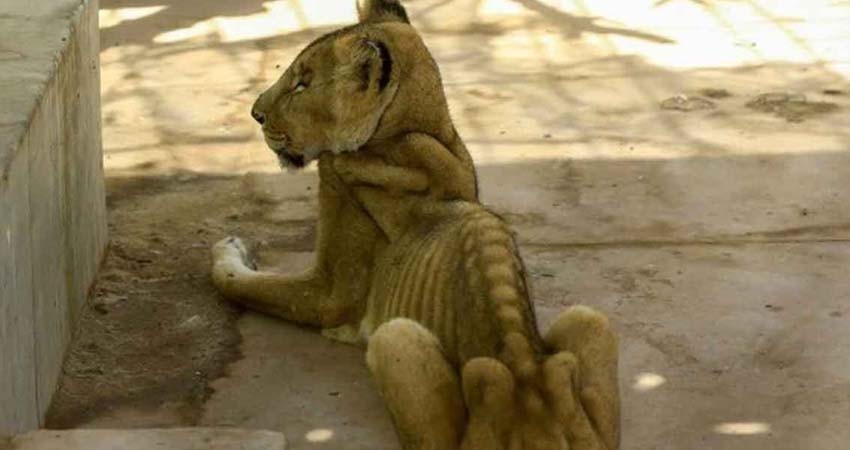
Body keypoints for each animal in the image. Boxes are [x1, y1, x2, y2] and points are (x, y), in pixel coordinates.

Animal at [211, 1, 620, 449]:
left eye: (302, 84)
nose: (255, 114)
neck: (413, 131)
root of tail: (531, 406)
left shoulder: (329, 291)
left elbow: (239, 283)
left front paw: (228, 247)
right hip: (590, 321)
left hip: (395, 337)